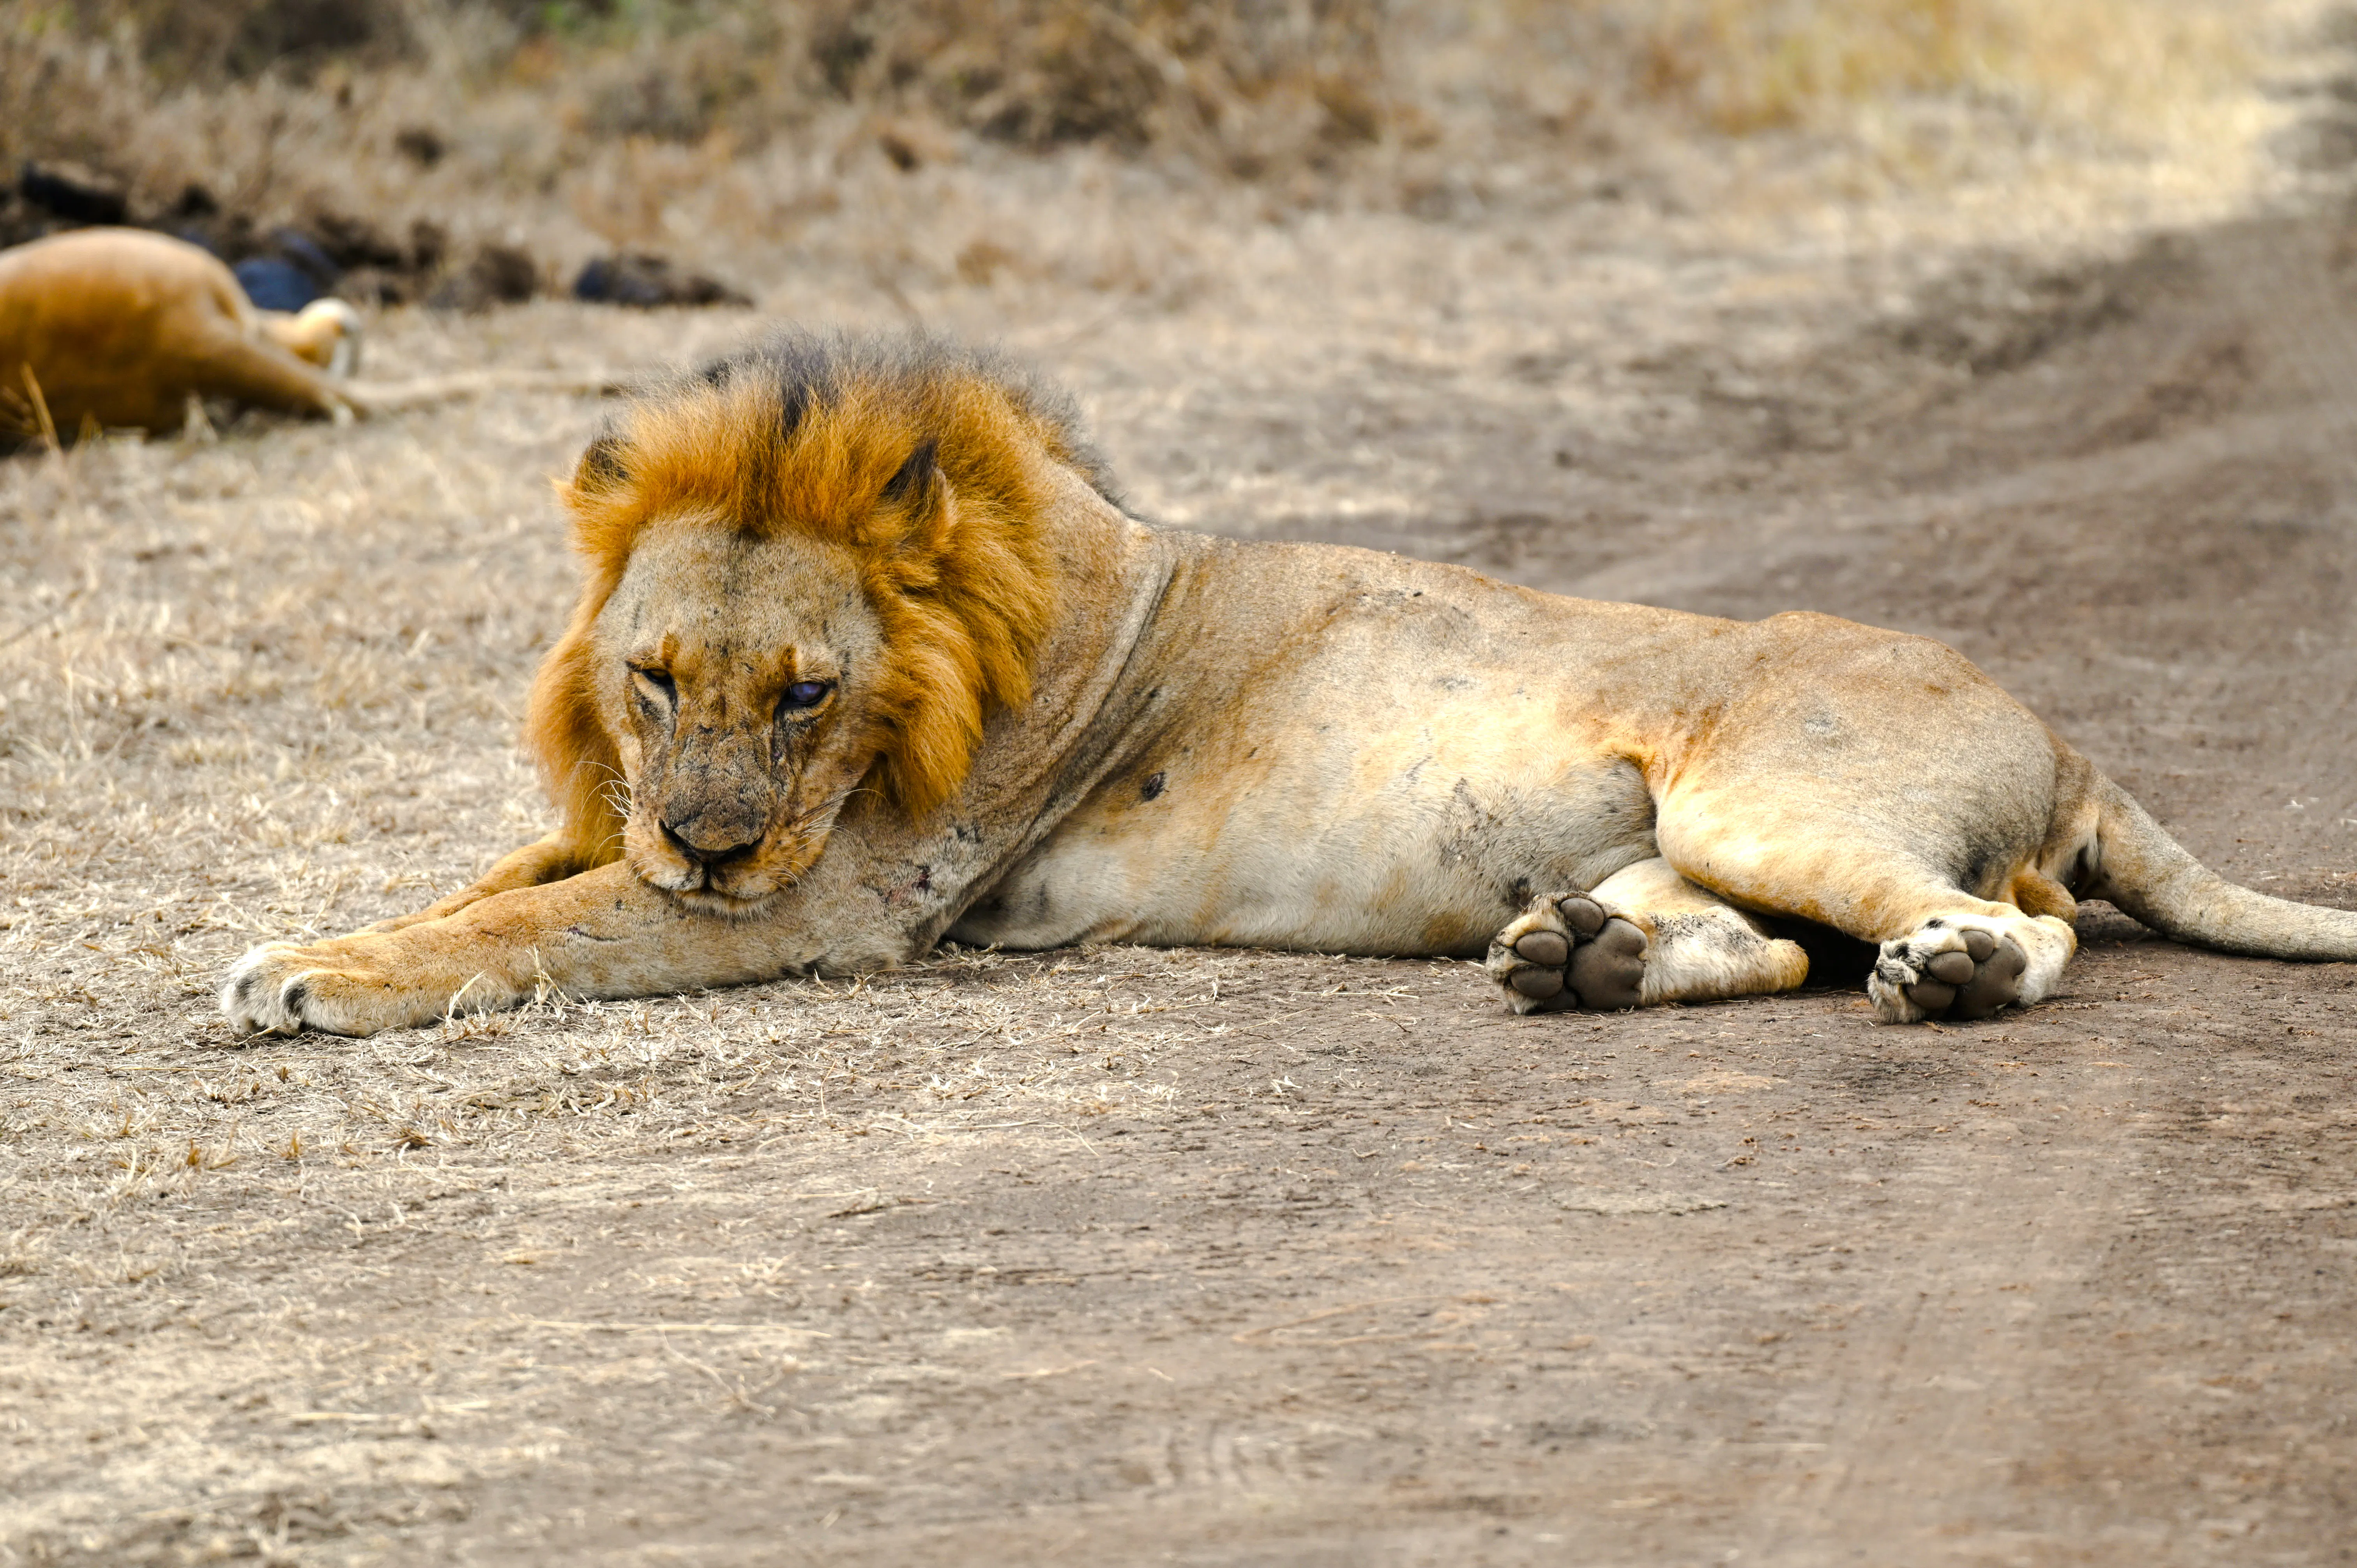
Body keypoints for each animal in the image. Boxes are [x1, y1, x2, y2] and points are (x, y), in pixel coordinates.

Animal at [219, 330, 2357, 1038]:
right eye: (654, 681)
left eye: (806, 694)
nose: (709, 842)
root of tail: (2066, 730)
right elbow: (501, 883)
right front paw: (299, 936)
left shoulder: (840, 902)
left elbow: (542, 923)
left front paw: (308, 977)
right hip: (1678, 835)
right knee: (1768, 947)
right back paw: (1582, 962)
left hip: (1774, 790)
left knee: (2015, 925)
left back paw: (1957, 975)